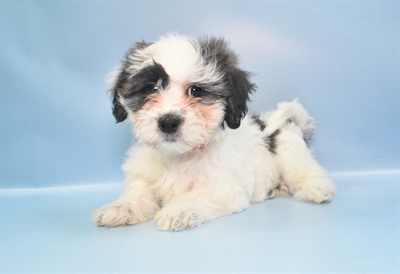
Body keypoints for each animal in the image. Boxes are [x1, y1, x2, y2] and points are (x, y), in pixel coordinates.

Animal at [92, 34, 336, 231]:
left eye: (196, 90)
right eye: (151, 88)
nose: (168, 122)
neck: (180, 155)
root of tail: (291, 123)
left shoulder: (225, 187)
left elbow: (198, 195)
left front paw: (178, 210)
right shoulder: (145, 173)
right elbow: (139, 190)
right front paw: (120, 207)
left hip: (290, 150)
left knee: (304, 170)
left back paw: (317, 188)